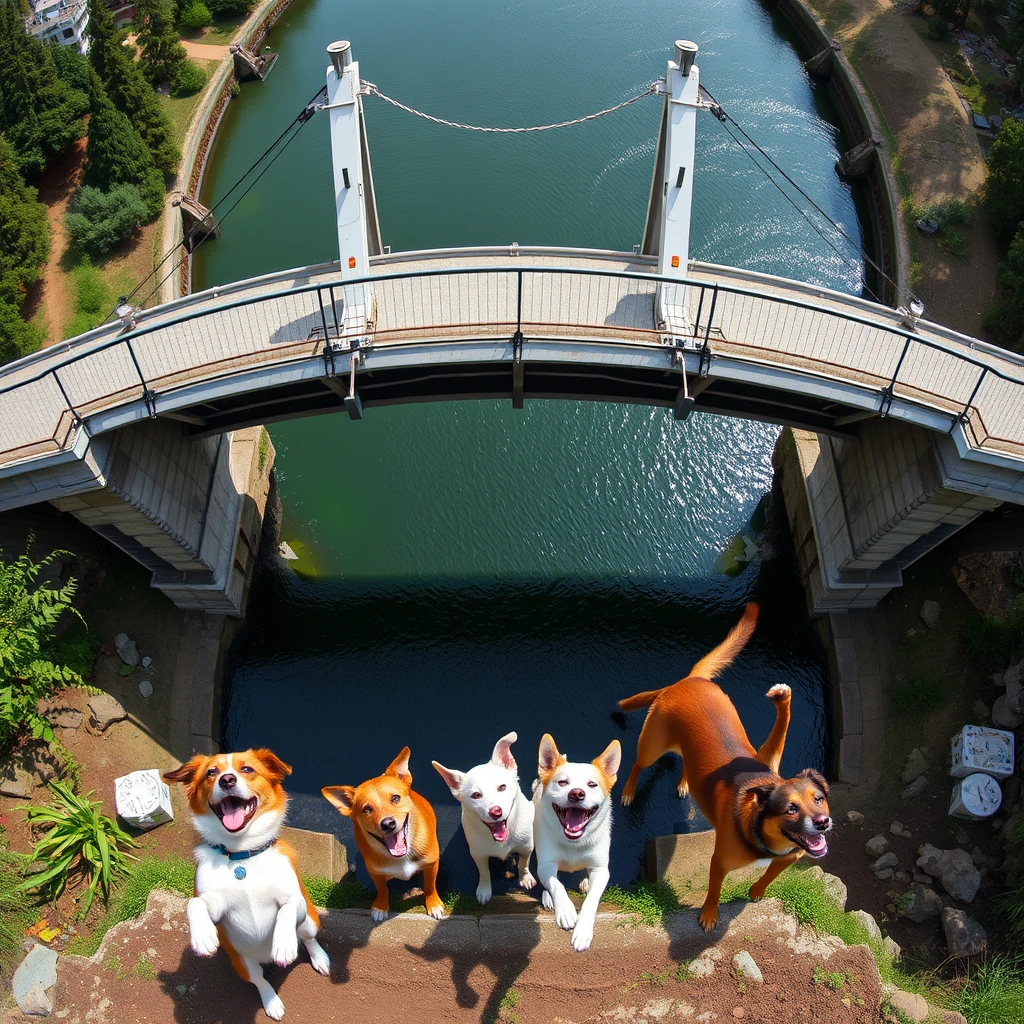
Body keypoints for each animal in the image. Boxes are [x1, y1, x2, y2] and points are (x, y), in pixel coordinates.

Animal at [163, 749, 329, 1019]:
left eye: (247, 769)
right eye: (211, 772)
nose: (227, 780)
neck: (242, 856)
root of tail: (264, 959)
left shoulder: (294, 898)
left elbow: (287, 909)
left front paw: (283, 943)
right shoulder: (217, 904)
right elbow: (195, 903)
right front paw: (202, 935)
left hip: (310, 921)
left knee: (308, 938)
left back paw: (319, 958)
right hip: (242, 963)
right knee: (260, 980)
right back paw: (271, 1002)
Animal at [321, 749, 446, 925]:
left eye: (395, 798)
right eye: (366, 809)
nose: (388, 824)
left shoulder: (431, 864)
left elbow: (430, 886)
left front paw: (433, 904)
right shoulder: (375, 872)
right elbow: (382, 889)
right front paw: (381, 906)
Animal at [434, 729, 540, 905]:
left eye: (502, 787)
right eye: (476, 795)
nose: (495, 812)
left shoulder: (526, 847)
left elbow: (523, 863)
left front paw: (525, 877)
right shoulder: (478, 854)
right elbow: (484, 872)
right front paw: (484, 890)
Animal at [532, 733, 618, 946]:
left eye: (592, 784)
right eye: (562, 783)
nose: (577, 793)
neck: (573, 840)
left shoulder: (601, 870)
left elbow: (592, 900)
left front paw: (583, 930)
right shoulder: (547, 865)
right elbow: (556, 884)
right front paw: (565, 909)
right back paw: (548, 898)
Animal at [614, 602, 831, 933]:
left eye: (819, 799)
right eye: (790, 809)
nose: (822, 822)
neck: (762, 831)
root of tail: (688, 680)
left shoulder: (787, 852)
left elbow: (770, 874)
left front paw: (756, 891)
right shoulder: (720, 862)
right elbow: (714, 890)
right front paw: (709, 915)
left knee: (685, 763)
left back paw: (684, 783)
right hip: (652, 745)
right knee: (638, 764)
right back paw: (628, 791)